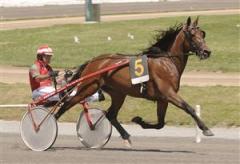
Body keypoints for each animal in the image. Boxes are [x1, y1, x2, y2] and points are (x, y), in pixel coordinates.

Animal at [55, 16, 213, 145]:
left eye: (202, 34)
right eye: (192, 34)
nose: (207, 52)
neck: (166, 61)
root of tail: (94, 61)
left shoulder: (163, 98)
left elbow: (160, 123)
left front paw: (139, 120)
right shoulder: (168, 93)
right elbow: (189, 108)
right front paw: (206, 129)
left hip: (118, 93)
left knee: (111, 115)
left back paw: (125, 136)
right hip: (88, 87)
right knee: (66, 104)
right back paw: (51, 126)